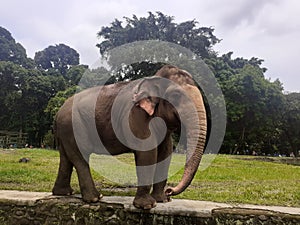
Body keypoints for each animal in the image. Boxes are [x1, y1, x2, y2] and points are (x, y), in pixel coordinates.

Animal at [52, 64, 206, 209]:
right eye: (176, 96)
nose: (170, 191)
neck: (154, 78)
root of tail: (58, 111)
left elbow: (165, 152)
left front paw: (162, 200)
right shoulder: (136, 115)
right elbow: (147, 152)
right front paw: (147, 205)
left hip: (66, 130)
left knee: (66, 158)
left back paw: (64, 193)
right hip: (73, 125)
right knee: (80, 157)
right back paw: (96, 198)